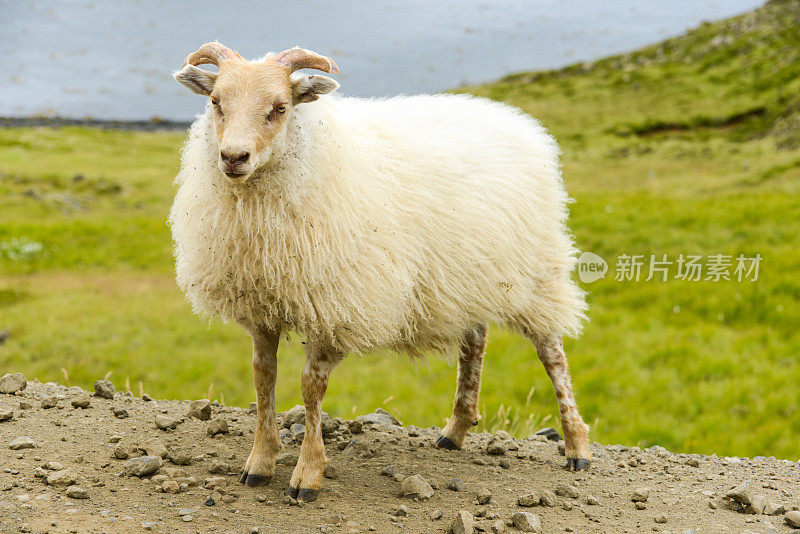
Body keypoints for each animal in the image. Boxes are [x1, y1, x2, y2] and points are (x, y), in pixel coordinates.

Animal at [172, 42, 592, 502]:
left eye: (280, 108)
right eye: (216, 102)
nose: (233, 157)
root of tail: (519, 122)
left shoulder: (337, 306)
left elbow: (310, 387)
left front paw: (307, 473)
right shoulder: (262, 303)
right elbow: (263, 379)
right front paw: (260, 462)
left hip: (536, 268)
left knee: (552, 353)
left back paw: (576, 445)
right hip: (468, 274)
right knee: (475, 342)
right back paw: (457, 429)